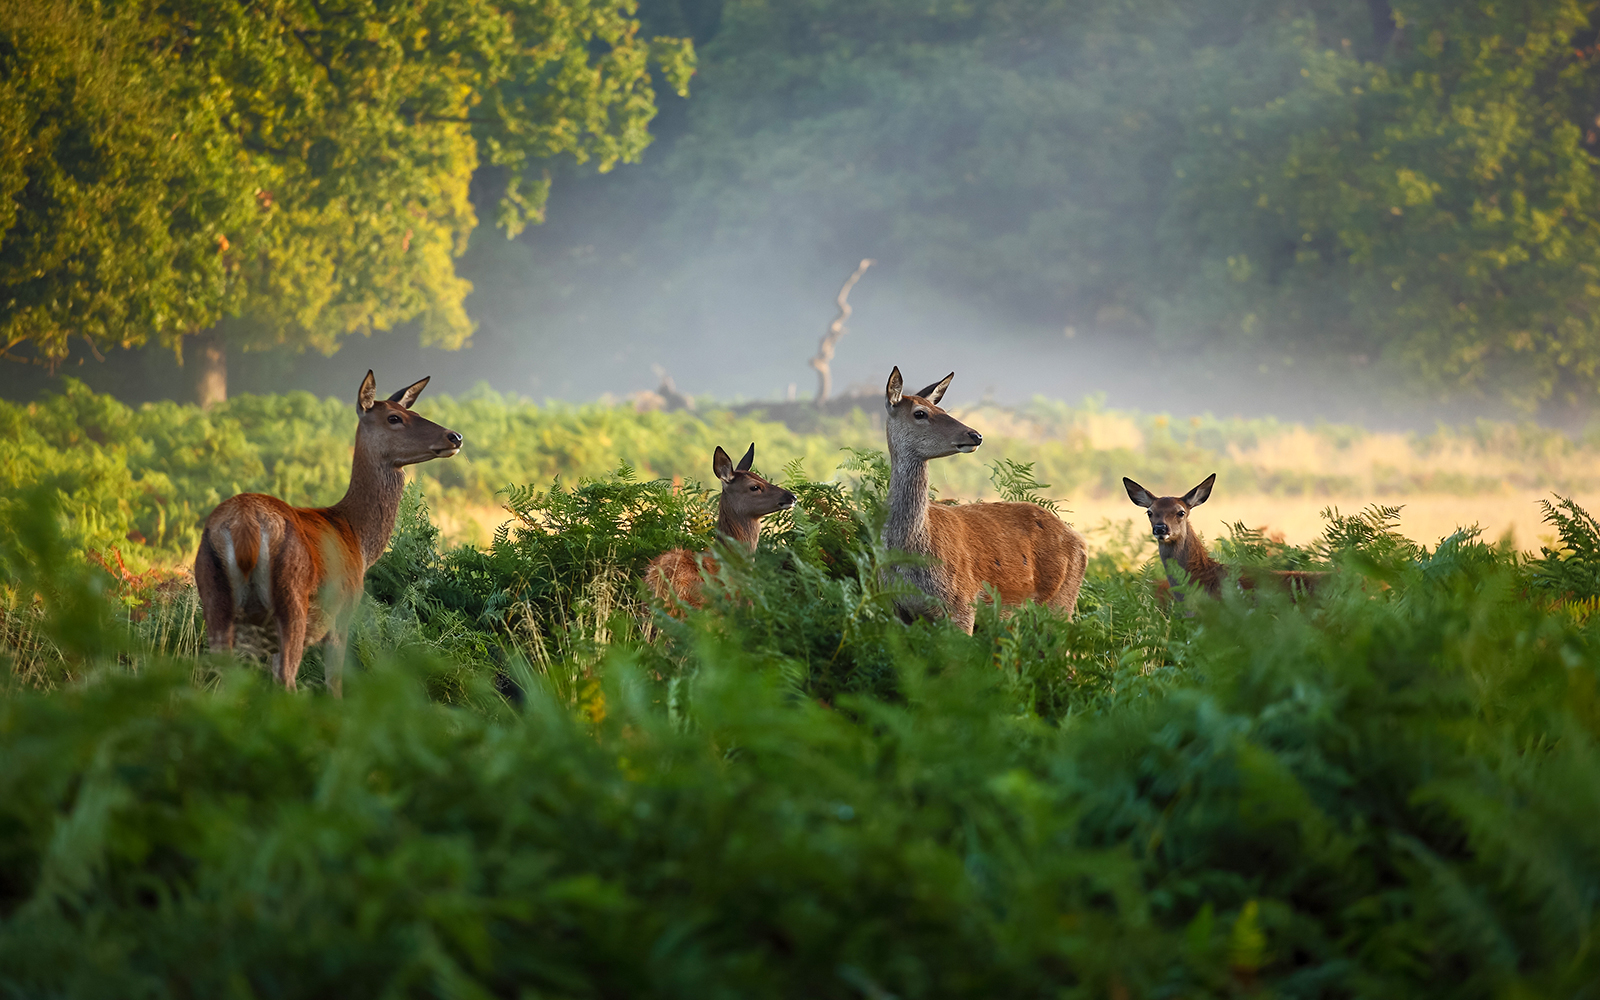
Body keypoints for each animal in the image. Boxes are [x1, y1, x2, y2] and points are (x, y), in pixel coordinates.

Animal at [194, 371, 462, 693]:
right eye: (394, 418)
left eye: (417, 413)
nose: (454, 436)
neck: (356, 536)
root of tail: (244, 525)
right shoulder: (343, 613)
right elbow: (334, 683)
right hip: (292, 600)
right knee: (286, 678)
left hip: (213, 593)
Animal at [881, 367, 1088, 633]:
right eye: (920, 413)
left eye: (943, 410)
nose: (975, 435)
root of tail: (1082, 543)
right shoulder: (897, 609)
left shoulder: (962, 603)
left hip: (1061, 603)